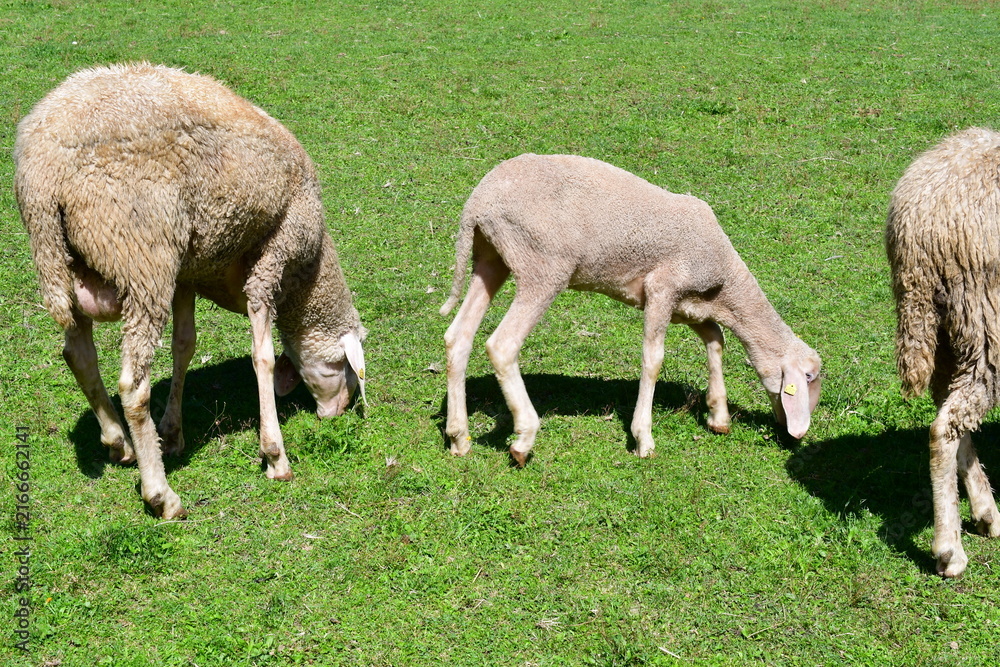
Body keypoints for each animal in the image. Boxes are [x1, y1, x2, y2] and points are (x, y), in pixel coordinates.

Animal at [14, 63, 367, 520]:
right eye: (343, 366)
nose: (336, 412)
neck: (306, 279)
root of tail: (40, 171)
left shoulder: (188, 272)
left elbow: (184, 345)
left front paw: (173, 432)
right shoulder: (272, 258)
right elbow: (263, 357)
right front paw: (275, 455)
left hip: (74, 259)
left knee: (78, 356)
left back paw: (118, 441)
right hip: (141, 256)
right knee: (132, 387)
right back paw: (161, 495)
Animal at [440, 154, 821, 465]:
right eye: (809, 377)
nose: (797, 434)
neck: (727, 283)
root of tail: (478, 201)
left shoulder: (689, 306)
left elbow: (716, 340)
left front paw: (719, 416)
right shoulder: (663, 289)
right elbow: (653, 361)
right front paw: (644, 438)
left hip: (491, 258)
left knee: (458, 337)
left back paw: (459, 436)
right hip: (543, 265)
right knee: (502, 345)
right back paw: (523, 438)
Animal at [886, 126, 1000, 578]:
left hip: (945, 328)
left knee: (950, 412)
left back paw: (985, 511)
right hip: (984, 317)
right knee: (944, 428)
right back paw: (949, 550)